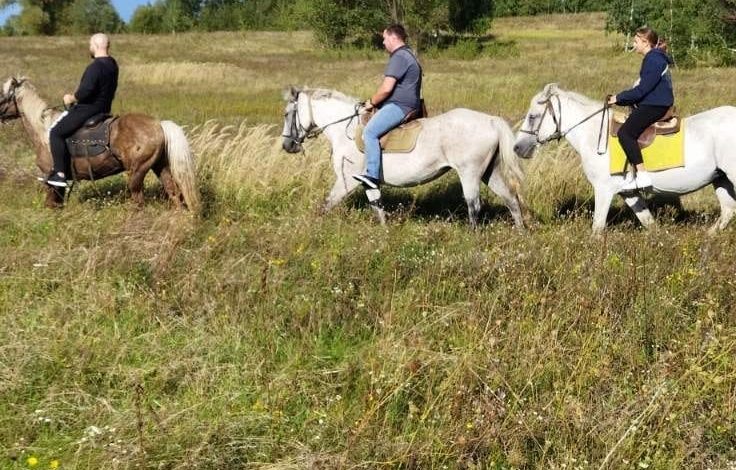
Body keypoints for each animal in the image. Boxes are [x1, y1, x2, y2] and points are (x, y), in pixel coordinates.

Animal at [278, 87, 528, 229]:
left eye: (287, 114)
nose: (287, 145)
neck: (344, 129)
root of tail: (491, 121)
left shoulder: (346, 180)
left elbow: (326, 204)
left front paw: (312, 227)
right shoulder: (367, 182)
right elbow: (377, 205)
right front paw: (385, 233)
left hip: (470, 173)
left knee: (474, 206)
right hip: (489, 172)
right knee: (511, 199)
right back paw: (520, 233)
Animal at [516, 83, 736, 234]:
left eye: (533, 116)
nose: (518, 148)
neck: (594, 134)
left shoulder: (604, 189)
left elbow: (597, 228)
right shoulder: (628, 193)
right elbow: (649, 223)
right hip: (720, 178)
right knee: (727, 210)